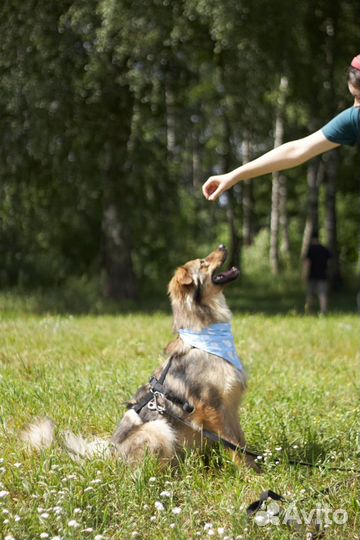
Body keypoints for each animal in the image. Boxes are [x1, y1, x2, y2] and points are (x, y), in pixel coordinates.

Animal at [22, 245, 255, 468]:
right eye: (203, 263)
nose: (223, 245)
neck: (206, 338)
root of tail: (109, 454)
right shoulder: (212, 407)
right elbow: (235, 448)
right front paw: (248, 474)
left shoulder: (230, 408)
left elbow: (240, 442)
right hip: (158, 428)